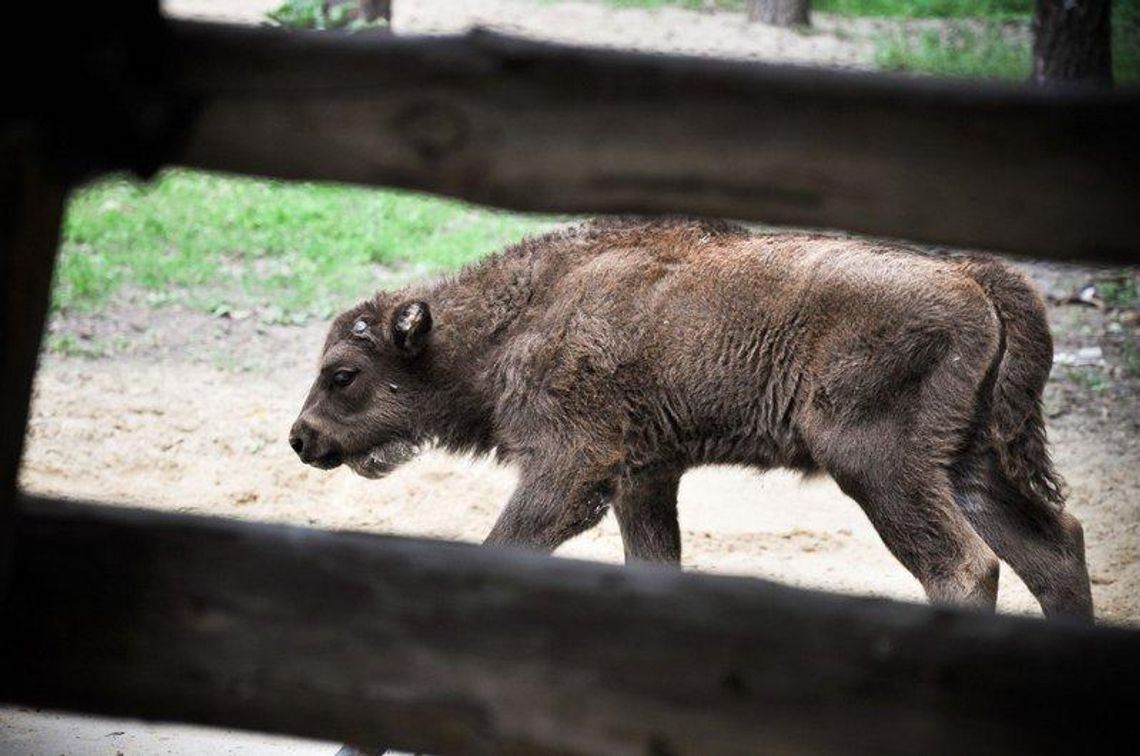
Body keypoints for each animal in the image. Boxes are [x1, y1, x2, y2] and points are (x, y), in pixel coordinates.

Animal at [289, 218, 1089, 620]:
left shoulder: (570, 471)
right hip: (969, 464)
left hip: (881, 467)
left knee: (965, 566)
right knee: (1053, 551)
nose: (303, 439)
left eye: (343, 374)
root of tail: (971, 275)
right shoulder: (644, 478)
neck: (515, 319)